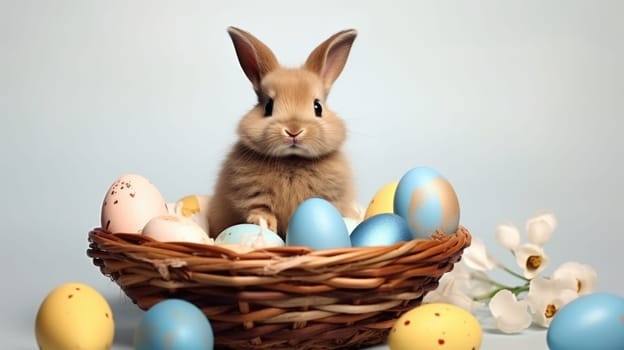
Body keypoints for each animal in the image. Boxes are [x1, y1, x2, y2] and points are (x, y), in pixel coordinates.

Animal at [207, 27, 358, 238]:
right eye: (268, 107)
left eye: (318, 107)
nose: (294, 131)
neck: (292, 159)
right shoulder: (252, 196)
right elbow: (260, 209)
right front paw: (264, 224)